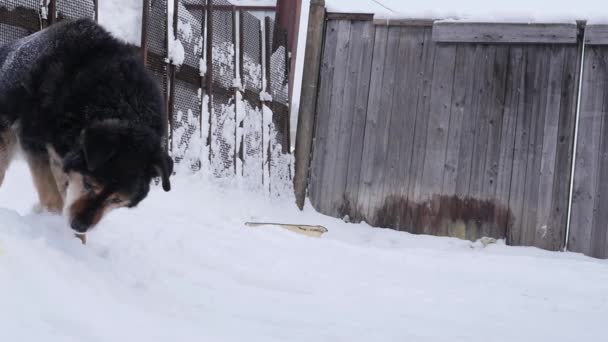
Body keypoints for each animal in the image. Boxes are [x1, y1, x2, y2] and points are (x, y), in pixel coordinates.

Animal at [0, 18, 173, 235]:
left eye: (116, 199)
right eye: (89, 184)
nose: (80, 227)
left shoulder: (63, 162)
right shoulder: (35, 143)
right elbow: (54, 198)